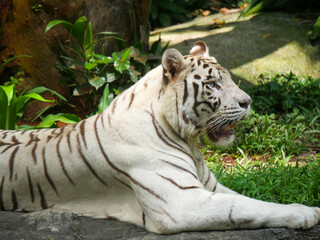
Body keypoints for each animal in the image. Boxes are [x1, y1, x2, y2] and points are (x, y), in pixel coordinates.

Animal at [0, 41, 318, 234]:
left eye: (227, 79)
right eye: (213, 84)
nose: (248, 102)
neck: (189, 141)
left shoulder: (210, 187)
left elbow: (251, 200)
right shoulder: (180, 201)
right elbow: (244, 208)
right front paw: (305, 213)